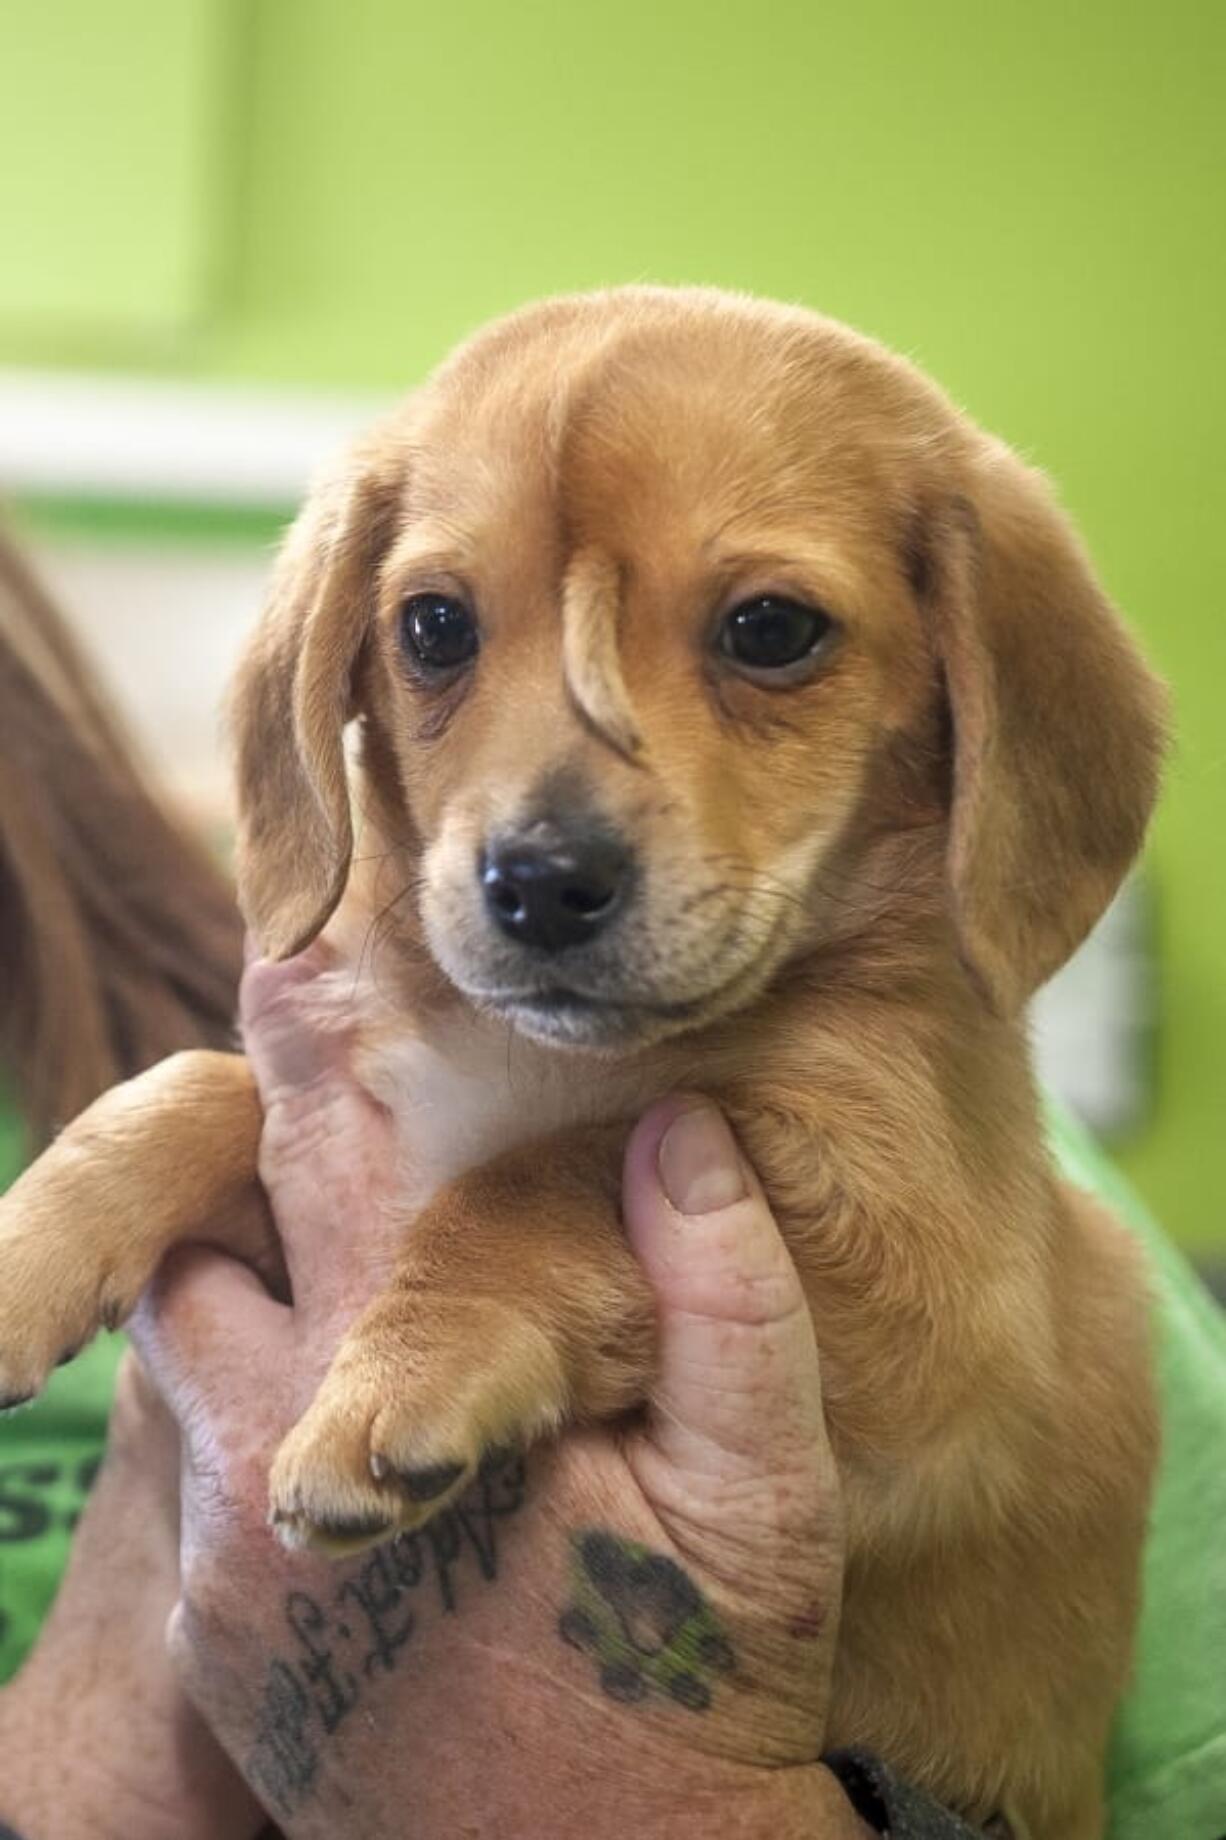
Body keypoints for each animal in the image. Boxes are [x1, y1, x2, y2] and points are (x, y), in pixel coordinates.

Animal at [2, 290, 1163, 1840]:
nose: (539, 882)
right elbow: (197, 1084)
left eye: (769, 629)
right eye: (433, 626)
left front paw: (406, 1371)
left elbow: (546, 1177)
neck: (526, 1057)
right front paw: (27, 1249)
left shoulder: (928, 1300)